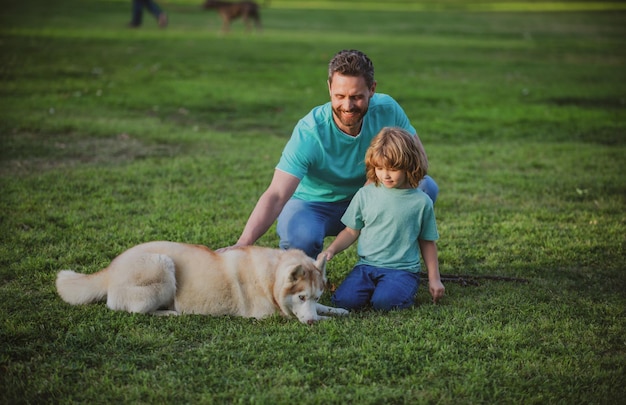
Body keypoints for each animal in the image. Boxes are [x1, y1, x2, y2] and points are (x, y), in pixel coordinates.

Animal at [54, 241, 346, 324]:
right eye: (300, 297)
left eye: (315, 296)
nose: (310, 323)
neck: (271, 278)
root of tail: (111, 267)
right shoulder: (268, 315)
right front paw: (325, 319)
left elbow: (328, 309)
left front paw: (338, 310)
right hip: (163, 266)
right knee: (133, 309)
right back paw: (170, 312)